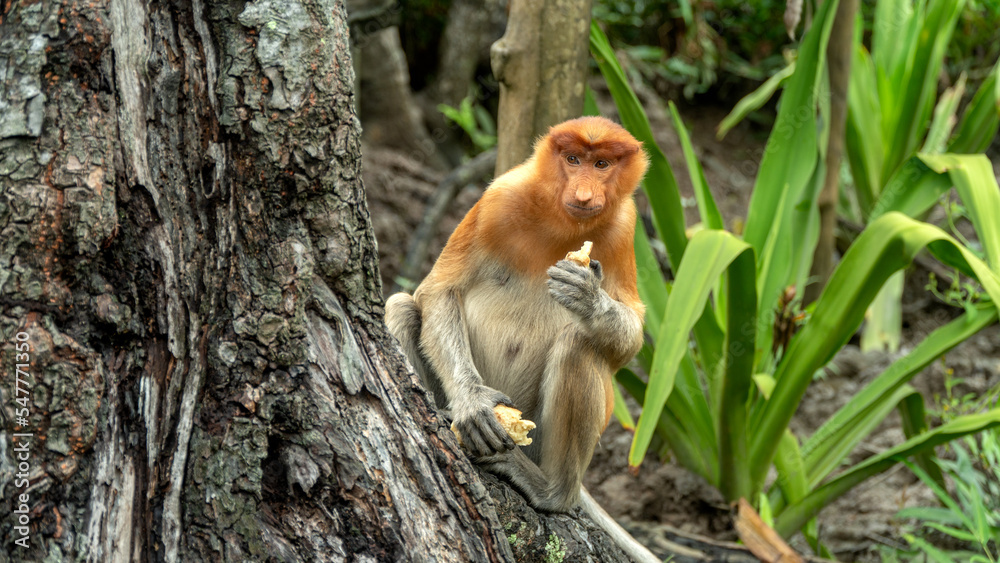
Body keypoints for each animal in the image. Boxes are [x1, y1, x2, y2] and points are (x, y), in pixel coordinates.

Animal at [386, 116, 648, 515]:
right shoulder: (497, 199)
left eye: (601, 164)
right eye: (573, 159)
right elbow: (439, 290)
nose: (584, 196)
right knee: (402, 307)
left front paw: (588, 296)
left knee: (578, 344)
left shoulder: (624, 227)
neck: (561, 222)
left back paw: (553, 492)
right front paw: (474, 404)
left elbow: (629, 340)